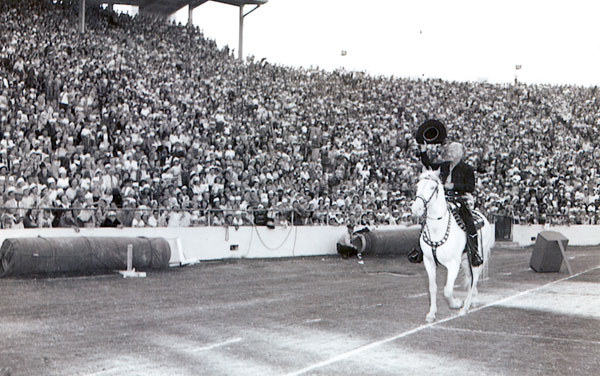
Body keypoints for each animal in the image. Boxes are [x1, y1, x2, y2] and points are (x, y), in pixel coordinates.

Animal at [412, 169, 492, 322]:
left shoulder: (453, 264)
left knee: (474, 279)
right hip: (465, 259)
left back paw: (465, 307)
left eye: (432, 187)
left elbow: (447, 290)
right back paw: (472, 301)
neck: (438, 229)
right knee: (470, 279)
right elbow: (433, 287)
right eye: (418, 186)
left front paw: (456, 304)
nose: (416, 209)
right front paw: (431, 314)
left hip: (477, 258)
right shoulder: (428, 262)